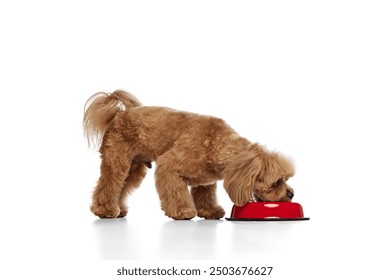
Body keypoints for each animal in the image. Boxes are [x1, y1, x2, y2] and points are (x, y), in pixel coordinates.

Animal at [84, 91, 294, 220]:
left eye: (286, 179)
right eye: (276, 182)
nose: (291, 194)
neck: (217, 144)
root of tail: (118, 114)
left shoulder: (205, 182)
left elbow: (205, 197)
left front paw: (210, 211)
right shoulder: (168, 167)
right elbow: (176, 193)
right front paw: (182, 211)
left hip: (134, 168)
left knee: (121, 187)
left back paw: (118, 209)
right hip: (117, 163)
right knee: (108, 184)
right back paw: (105, 210)